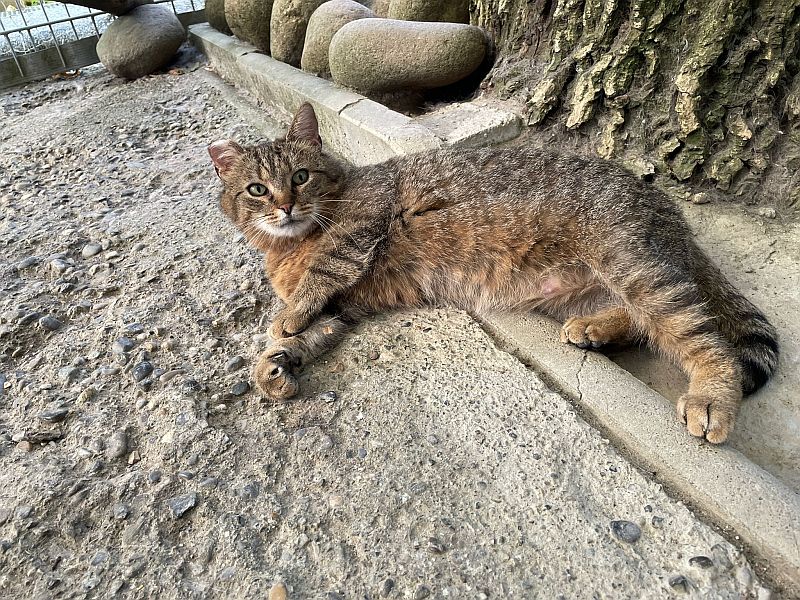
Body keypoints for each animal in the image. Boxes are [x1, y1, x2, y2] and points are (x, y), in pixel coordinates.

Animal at [208, 103, 779, 444]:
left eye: (301, 176)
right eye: (257, 189)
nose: (284, 205)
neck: (287, 245)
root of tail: (673, 215)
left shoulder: (357, 232)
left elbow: (316, 281)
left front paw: (286, 318)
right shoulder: (348, 306)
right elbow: (310, 333)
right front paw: (275, 362)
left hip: (633, 265)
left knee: (703, 337)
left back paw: (711, 395)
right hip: (585, 286)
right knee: (640, 320)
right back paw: (594, 328)